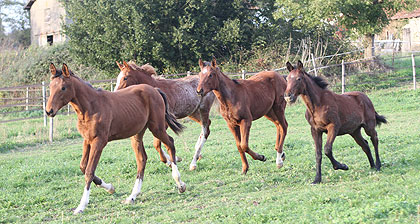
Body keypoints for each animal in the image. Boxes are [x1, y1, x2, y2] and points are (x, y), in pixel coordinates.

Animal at [45, 62, 186, 214]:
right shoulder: (87, 140)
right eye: (50, 87)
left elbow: (89, 171)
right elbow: (83, 167)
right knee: (142, 159)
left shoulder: (99, 142)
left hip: (157, 128)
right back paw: (132, 196)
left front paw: (81, 206)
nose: (49, 111)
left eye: (63, 88)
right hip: (137, 134)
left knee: (170, 143)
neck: (90, 107)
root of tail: (154, 89)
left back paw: (180, 184)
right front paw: (110, 188)